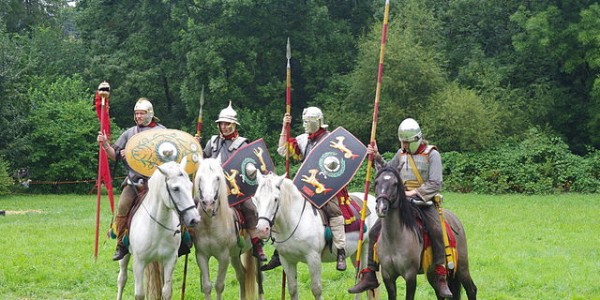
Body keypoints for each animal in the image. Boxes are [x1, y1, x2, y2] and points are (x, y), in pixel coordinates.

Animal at [116, 159, 200, 300]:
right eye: (175, 188)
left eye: (190, 185)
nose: (195, 219)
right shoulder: (139, 262)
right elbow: (139, 294)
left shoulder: (170, 259)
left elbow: (166, 291)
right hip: (125, 255)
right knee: (122, 279)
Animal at [191, 158, 258, 298]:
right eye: (200, 178)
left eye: (217, 178)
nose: (208, 203)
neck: (210, 225)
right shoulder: (201, 255)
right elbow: (207, 286)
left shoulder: (223, 257)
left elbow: (219, 285)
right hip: (235, 255)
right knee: (242, 274)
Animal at [254, 171, 378, 300]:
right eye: (256, 198)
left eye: (275, 199)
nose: (262, 229)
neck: (295, 220)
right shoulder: (287, 260)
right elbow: (292, 289)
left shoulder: (313, 258)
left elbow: (316, 289)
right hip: (355, 253)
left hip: (365, 248)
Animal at [372, 164, 476, 300]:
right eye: (376, 182)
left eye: (395, 184)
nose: (381, 208)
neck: (394, 239)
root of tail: (455, 220)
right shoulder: (387, 276)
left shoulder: (410, 276)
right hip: (433, 271)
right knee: (440, 292)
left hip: (462, 267)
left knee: (471, 289)